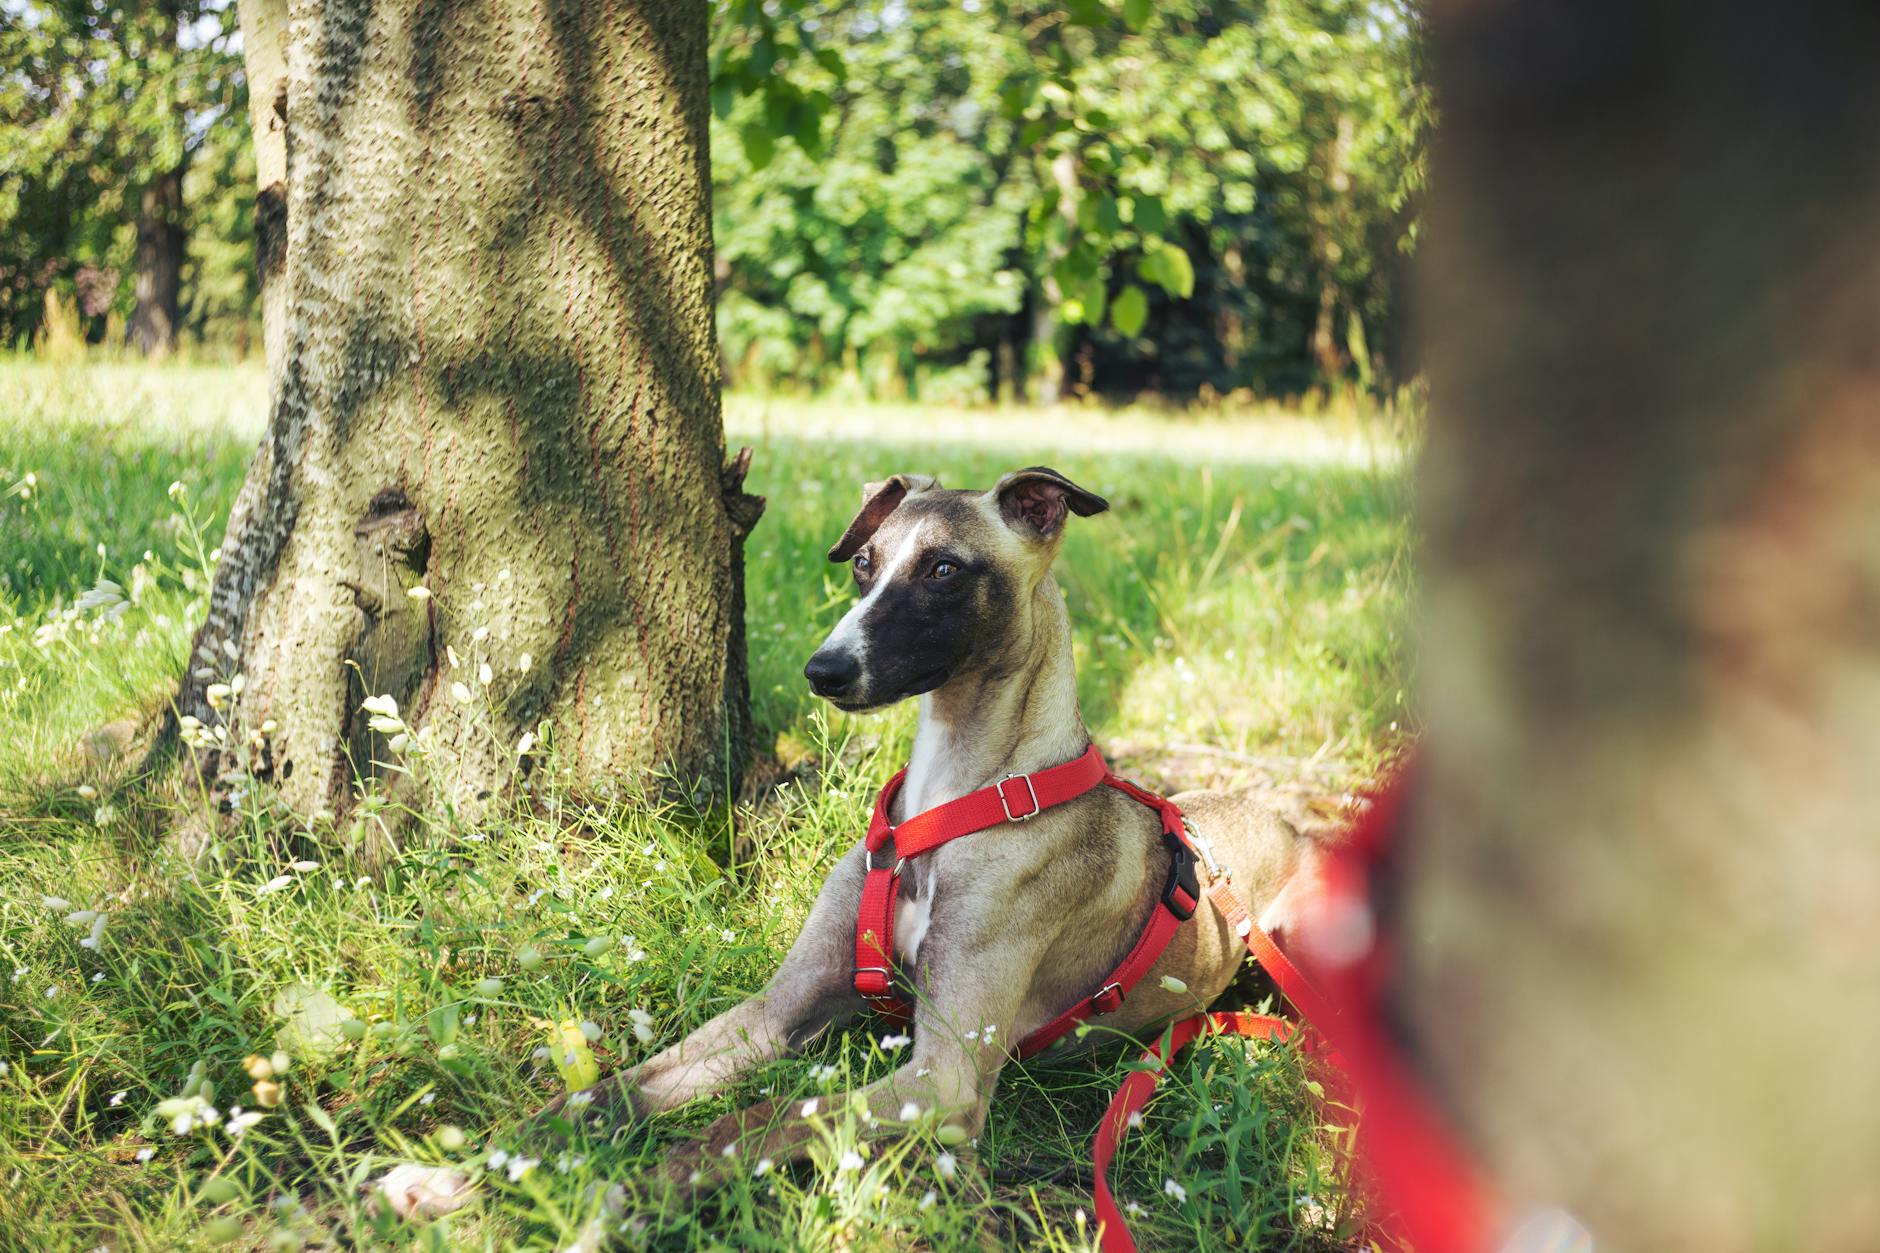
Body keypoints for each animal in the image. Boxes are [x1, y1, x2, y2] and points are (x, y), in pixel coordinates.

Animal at [377, 460, 1323, 1219]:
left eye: (943, 568)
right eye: (865, 564)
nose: (823, 670)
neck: (953, 805)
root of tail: (1286, 818)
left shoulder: (940, 1079)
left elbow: (752, 1122)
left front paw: (617, 1194)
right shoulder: (774, 1013)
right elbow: (612, 1093)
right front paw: (470, 1170)